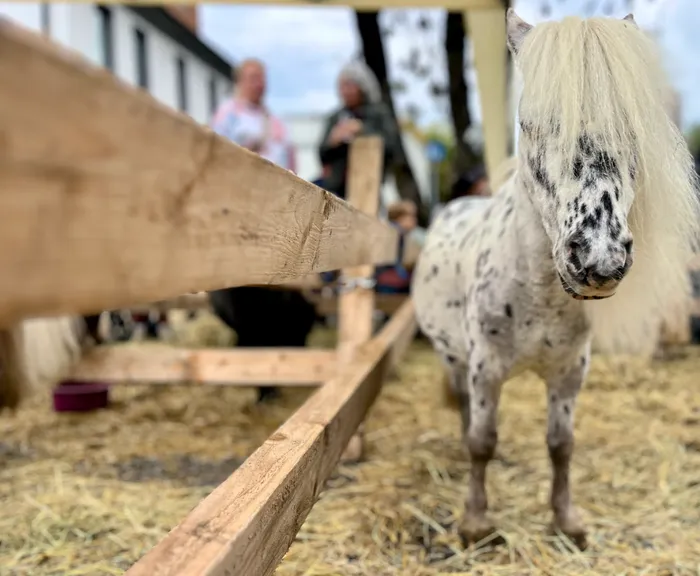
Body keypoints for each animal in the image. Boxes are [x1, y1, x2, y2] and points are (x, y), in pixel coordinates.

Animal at [412, 9, 699, 550]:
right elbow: (481, 441)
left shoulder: (569, 372)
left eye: (633, 129)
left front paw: (567, 520)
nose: (599, 259)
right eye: (531, 124)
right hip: (454, 357)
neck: (538, 295)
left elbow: (561, 445)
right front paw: (476, 522)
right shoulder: (486, 366)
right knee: (464, 409)